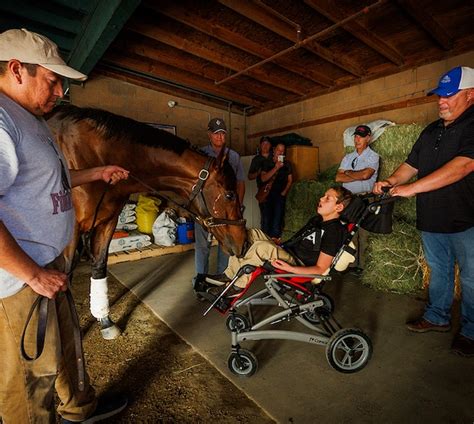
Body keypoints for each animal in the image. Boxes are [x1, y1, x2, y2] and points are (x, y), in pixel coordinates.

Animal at [46, 105, 248, 338]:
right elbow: (65, 280)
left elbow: (98, 267)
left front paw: (105, 322)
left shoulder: (107, 222)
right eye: (229, 195)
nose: (244, 243)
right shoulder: (69, 233)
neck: (95, 155)